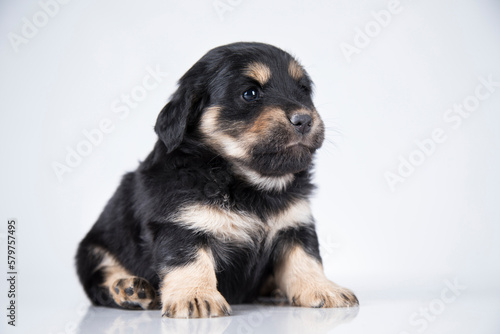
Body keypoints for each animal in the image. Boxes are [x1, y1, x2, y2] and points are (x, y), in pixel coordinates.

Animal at [75, 41, 360, 318]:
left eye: (303, 90)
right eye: (250, 93)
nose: (304, 120)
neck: (248, 182)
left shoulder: (296, 226)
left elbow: (306, 260)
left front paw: (323, 288)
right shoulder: (181, 225)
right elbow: (190, 261)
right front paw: (196, 296)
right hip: (93, 249)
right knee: (101, 280)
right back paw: (129, 289)